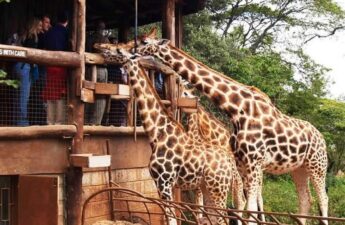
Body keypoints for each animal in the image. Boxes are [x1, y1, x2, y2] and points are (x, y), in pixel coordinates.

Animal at [99, 48, 236, 225]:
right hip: (208, 187)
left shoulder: (164, 181)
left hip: (218, 188)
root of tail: (229, 162)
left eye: (117, 50)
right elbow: (168, 216)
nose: (100, 49)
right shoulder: (162, 184)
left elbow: (171, 218)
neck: (158, 133)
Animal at [134, 38, 328, 225]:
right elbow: (244, 205)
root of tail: (322, 138)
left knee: (323, 199)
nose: (134, 50)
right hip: (299, 168)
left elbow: (249, 207)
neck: (237, 109)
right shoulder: (243, 164)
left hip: (317, 166)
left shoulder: (254, 163)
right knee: (305, 199)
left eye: (145, 42)